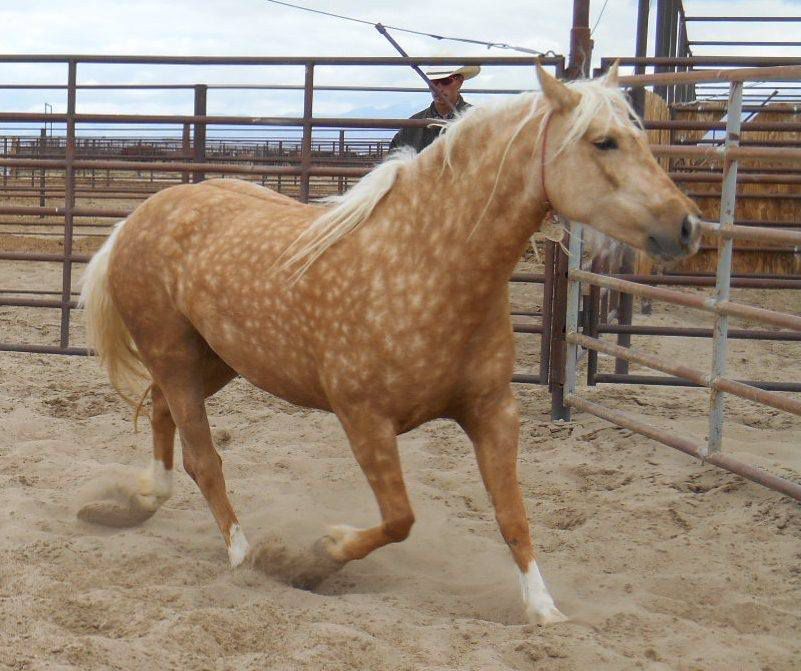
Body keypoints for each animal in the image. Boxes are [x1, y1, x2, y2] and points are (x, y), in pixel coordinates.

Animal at [78, 65, 696, 628]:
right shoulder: (365, 419)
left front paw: (544, 611)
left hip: (218, 360)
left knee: (163, 413)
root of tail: (140, 216)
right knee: (203, 458)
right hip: (176, 354)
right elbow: (400, 519)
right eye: (603, 141)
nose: (687, 226)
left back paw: (136, 502)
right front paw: (319, 555)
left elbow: (512, 516)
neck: (424, 262)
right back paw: (241, 555)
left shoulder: (494, 411)